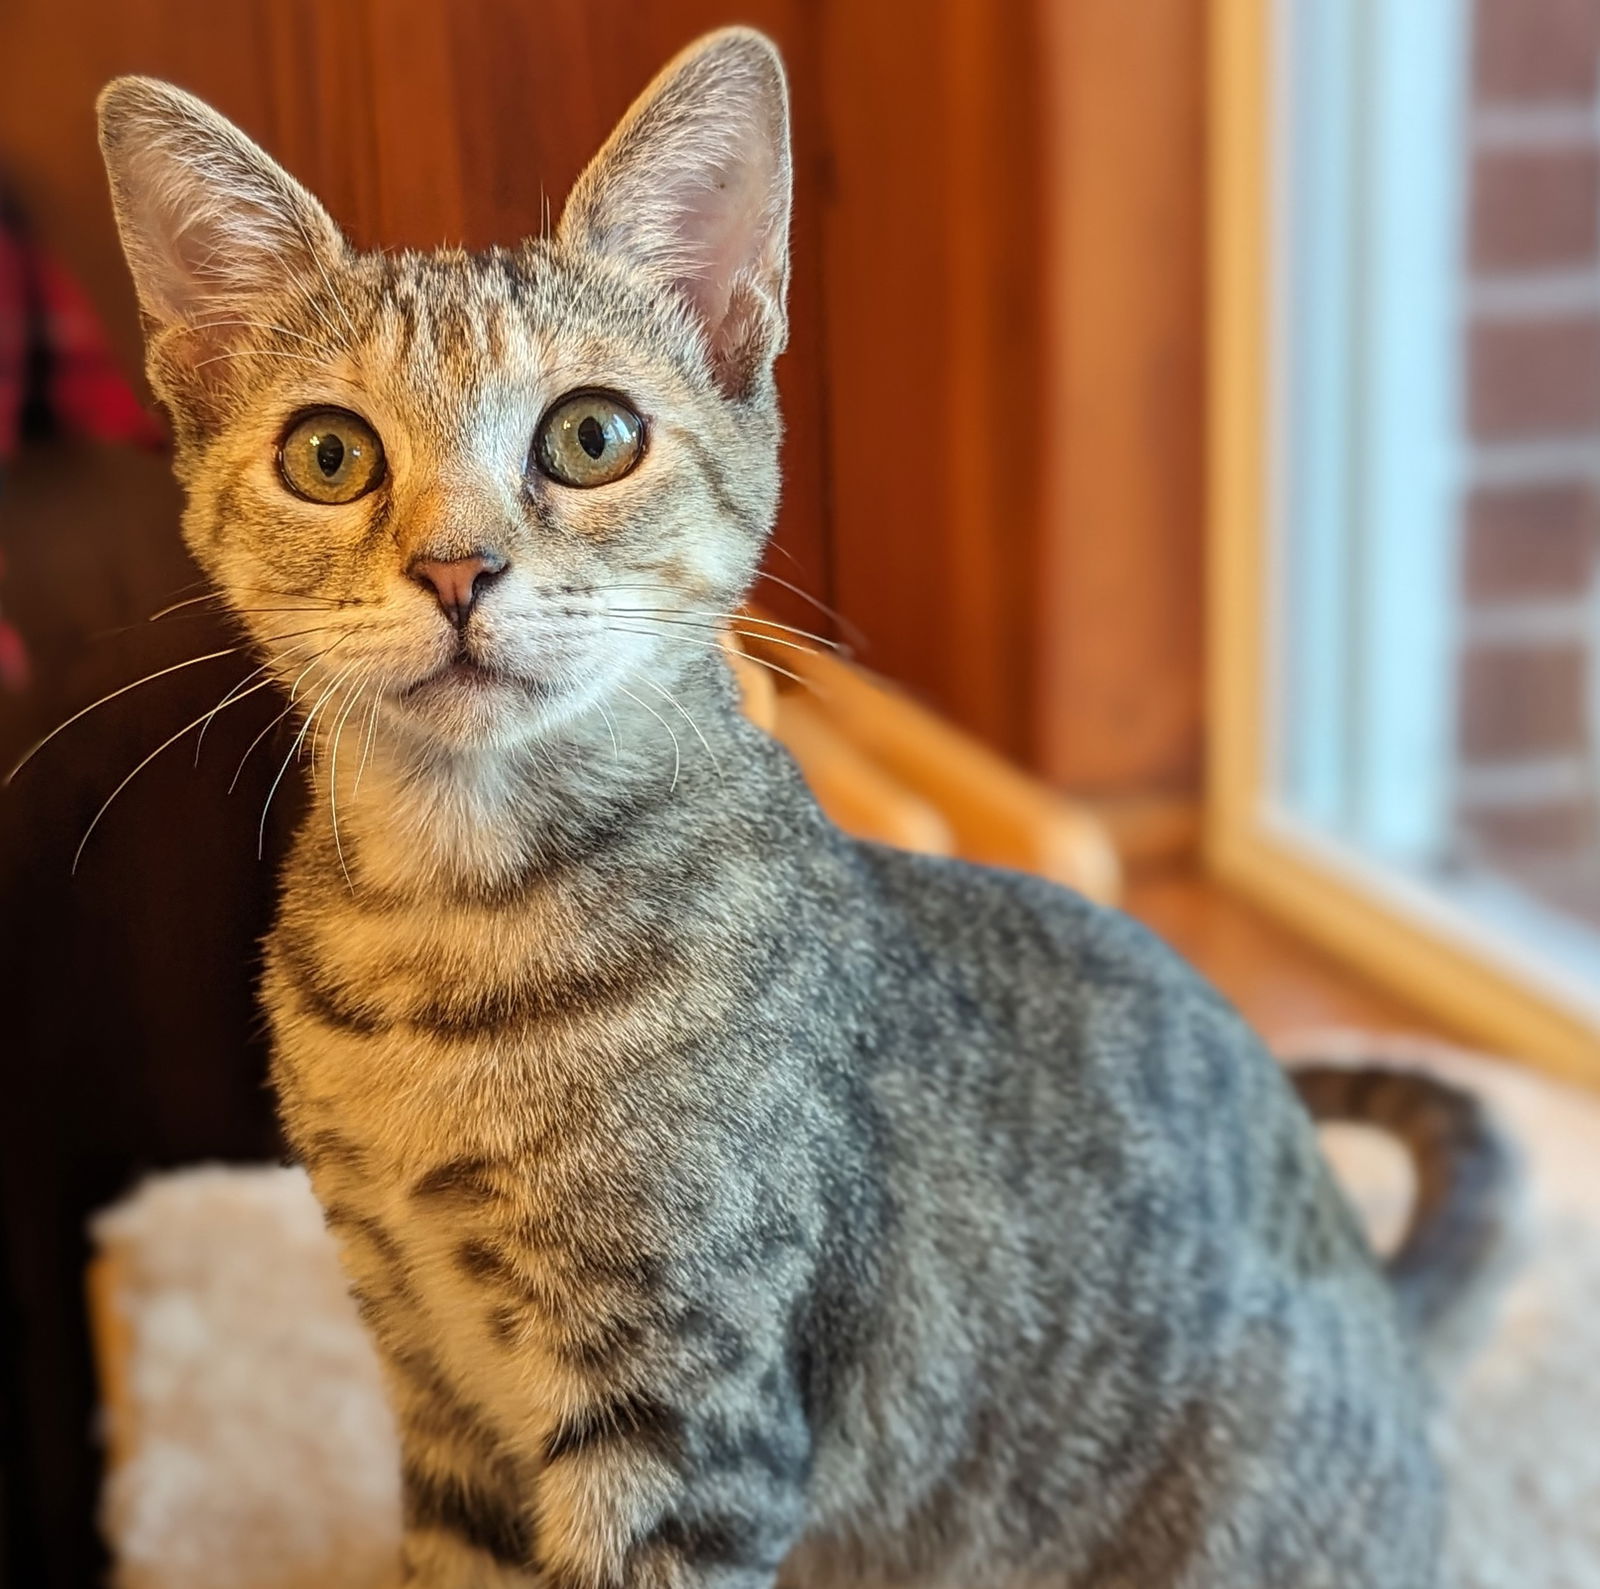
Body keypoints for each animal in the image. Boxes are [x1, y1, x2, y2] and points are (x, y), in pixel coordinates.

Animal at [100, 28, 1510, 1587]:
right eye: (331, 454)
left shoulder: (685, 1414)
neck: (449, 932)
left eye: (591, 436)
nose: (457, 567)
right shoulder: (433, 1377)